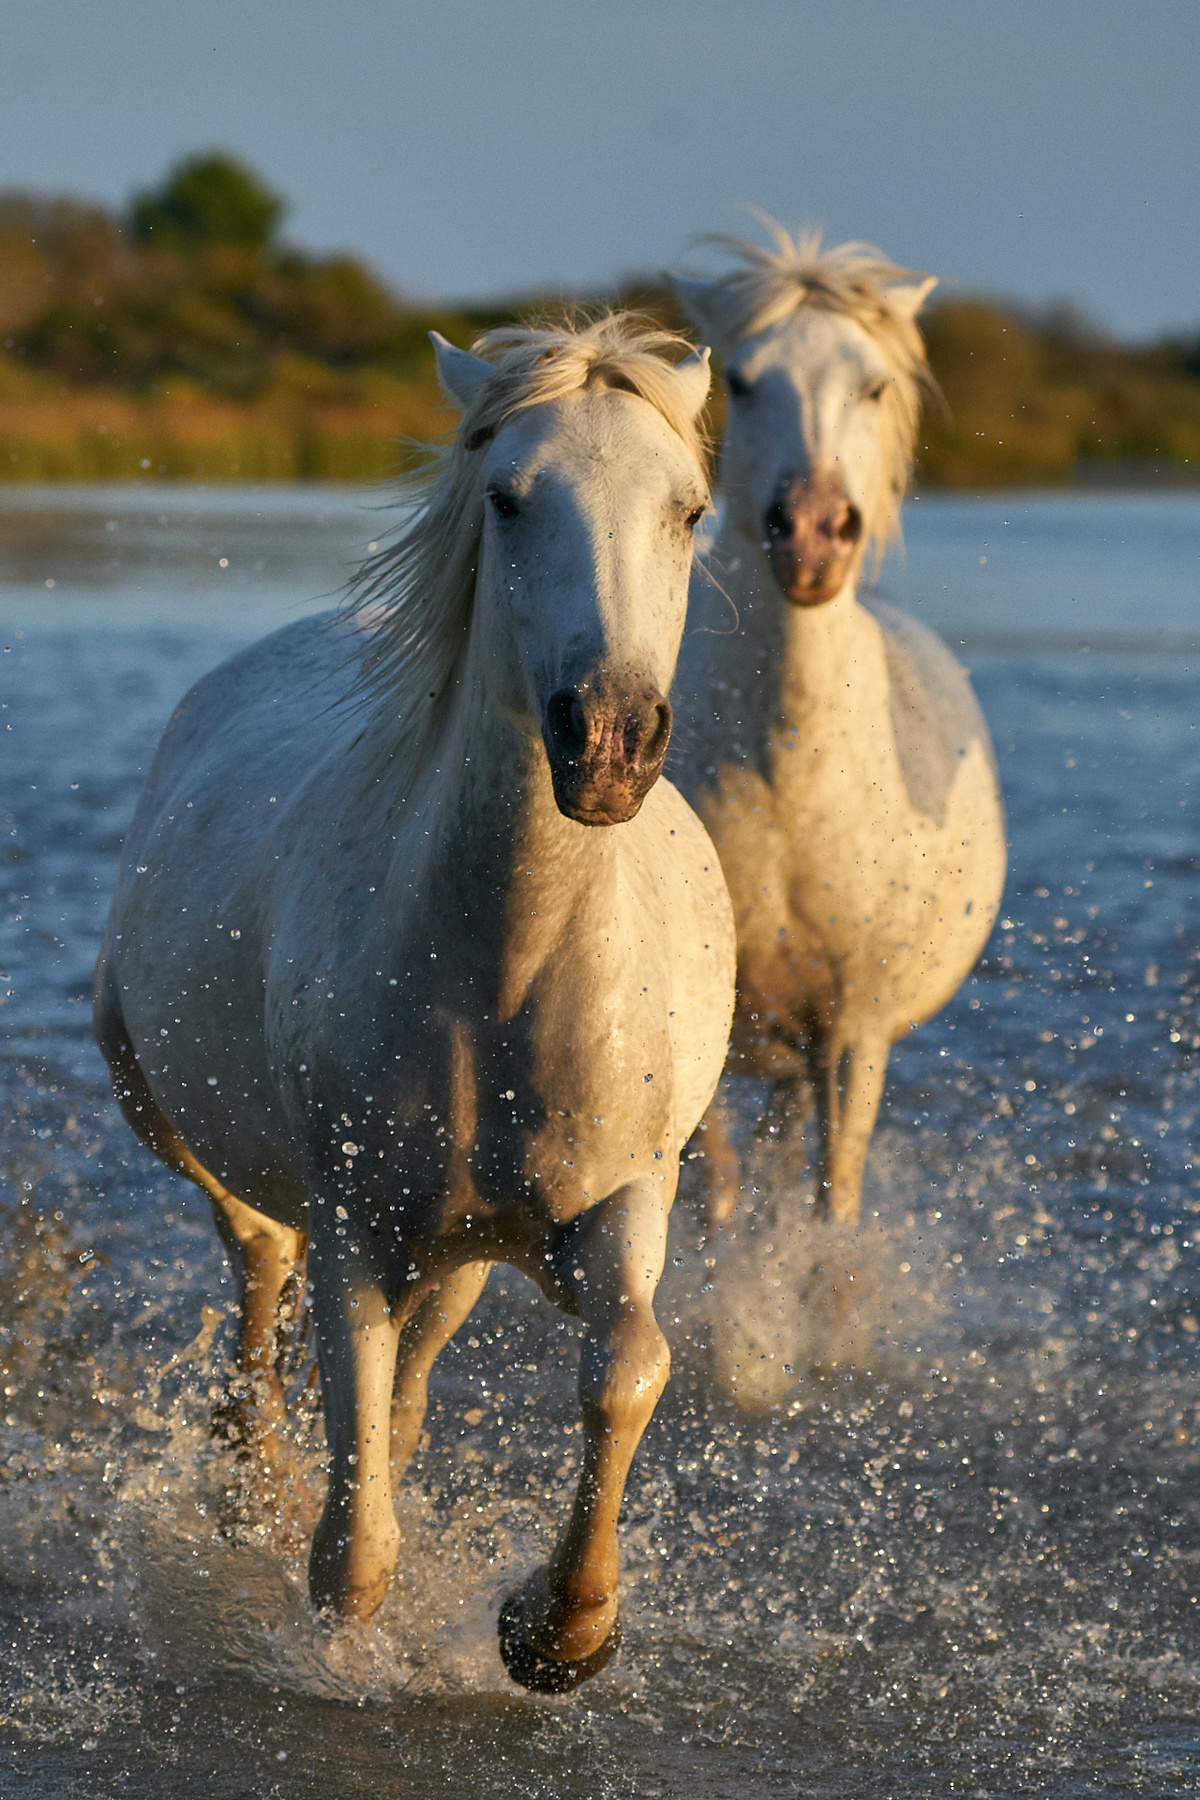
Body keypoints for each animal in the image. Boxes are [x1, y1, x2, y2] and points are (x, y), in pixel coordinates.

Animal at [93, 314, 735, 1693]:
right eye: (508, 497)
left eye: (692, 510)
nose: (608, 741)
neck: (507, 978)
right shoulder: (354, 1233)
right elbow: (355, 1545)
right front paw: (348, 1652)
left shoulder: (622, 1201)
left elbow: (629, 1368)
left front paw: (558, 1632)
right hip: (170, 1111)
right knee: (256, 1269)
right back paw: (249, 1483)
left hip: (462, 1249)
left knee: (412, 1374)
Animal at [670, 219, 1006, 1232]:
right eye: (743, 381)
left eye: (875, 386)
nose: (813, 533)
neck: (789, 780)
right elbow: (717, 1197)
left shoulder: (855, 1033)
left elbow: (834, 1208)